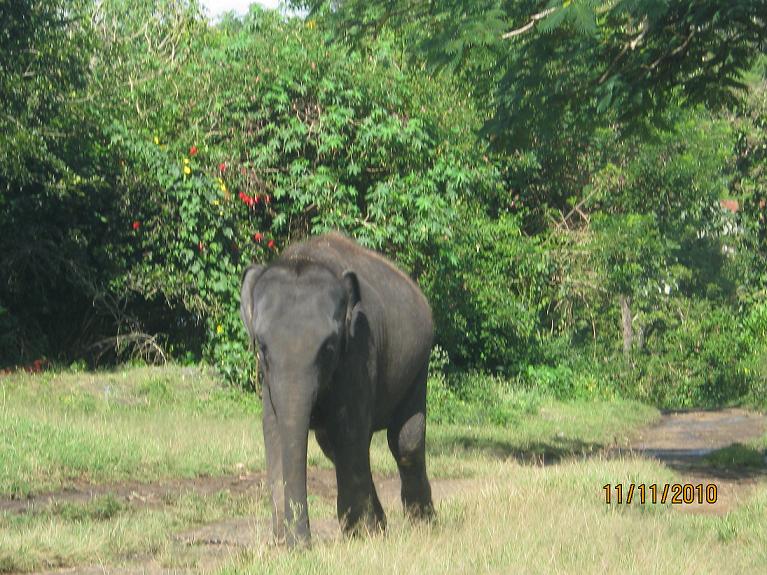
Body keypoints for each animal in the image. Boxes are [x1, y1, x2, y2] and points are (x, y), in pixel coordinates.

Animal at [240, 232, 435, 548]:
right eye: (262, 348)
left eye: (329, 348)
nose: (302, 545)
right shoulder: (268, 378)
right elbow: (274, 430)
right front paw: (283, 543)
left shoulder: (358, 349)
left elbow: (349, 429)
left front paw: (361, 535)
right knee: (332, 446)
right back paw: (381, 526)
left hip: (419, 363)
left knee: (405, 441)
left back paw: (422, 524)